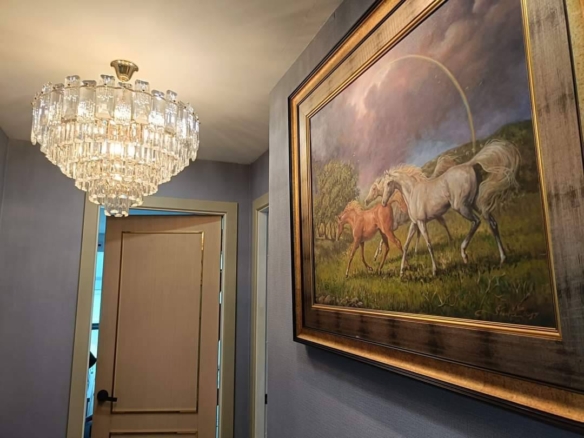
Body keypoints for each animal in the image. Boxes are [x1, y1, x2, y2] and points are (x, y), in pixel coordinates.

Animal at [381, 139, 520, 277]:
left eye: (388, 183)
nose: (383, 203)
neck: (412, 193)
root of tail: (469, 164)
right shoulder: (414, 223)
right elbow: (405, 246)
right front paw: (402, 272)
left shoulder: (421, 222)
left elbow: (429, 244)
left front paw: (435, 270)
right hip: (475, 203)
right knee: (492, 223)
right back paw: (502, 258)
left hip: (461, 207)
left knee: (476, 221)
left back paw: (464, 254)